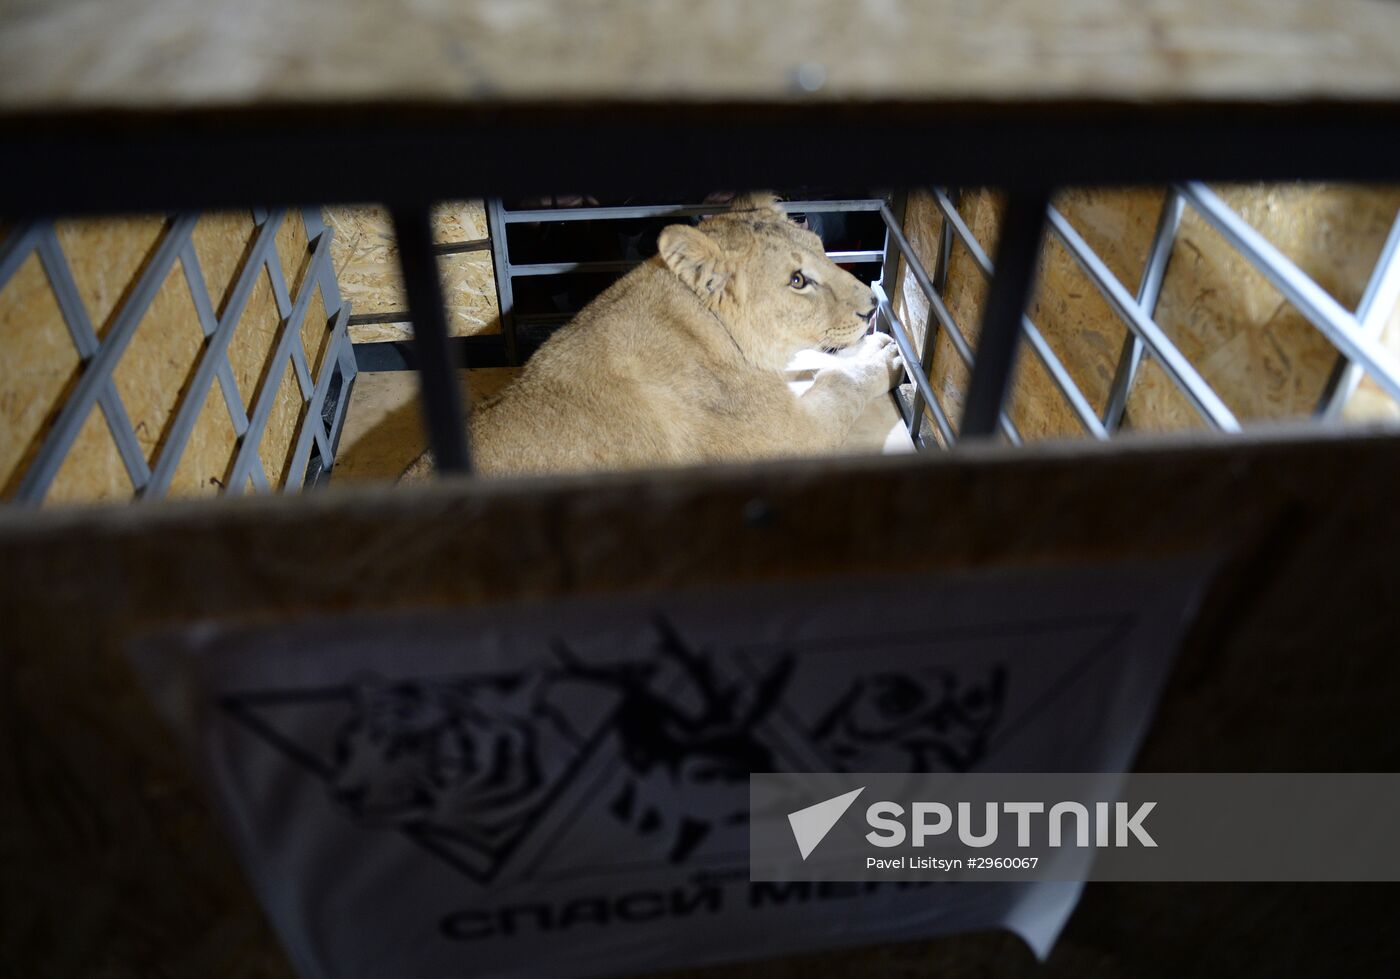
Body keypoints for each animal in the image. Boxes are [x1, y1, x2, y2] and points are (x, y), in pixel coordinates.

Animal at [402, 193, 903, 479]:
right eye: (798, 281)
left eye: (823, 250)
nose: (872, 306)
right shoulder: (793, 440)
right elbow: (842, 388)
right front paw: (881, 358)